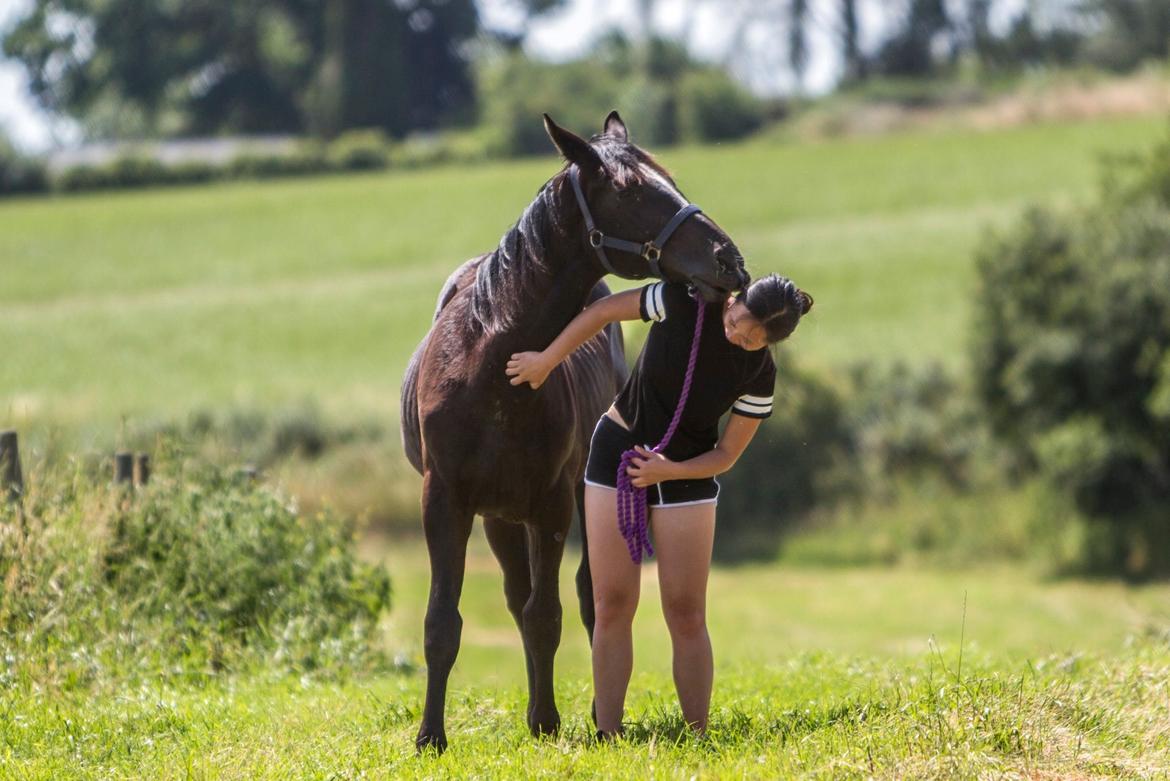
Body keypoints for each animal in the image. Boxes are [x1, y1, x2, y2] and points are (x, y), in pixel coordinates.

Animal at [402, 109, 748, 748]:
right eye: (632, 190)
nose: (728, 260)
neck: (491, 364)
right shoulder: (445, 500)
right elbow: (444, 620)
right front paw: (430, 737)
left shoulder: (553, 502)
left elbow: (548, 614)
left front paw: (545, 721)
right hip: (497, 516)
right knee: (518, 596)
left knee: (586, 597)